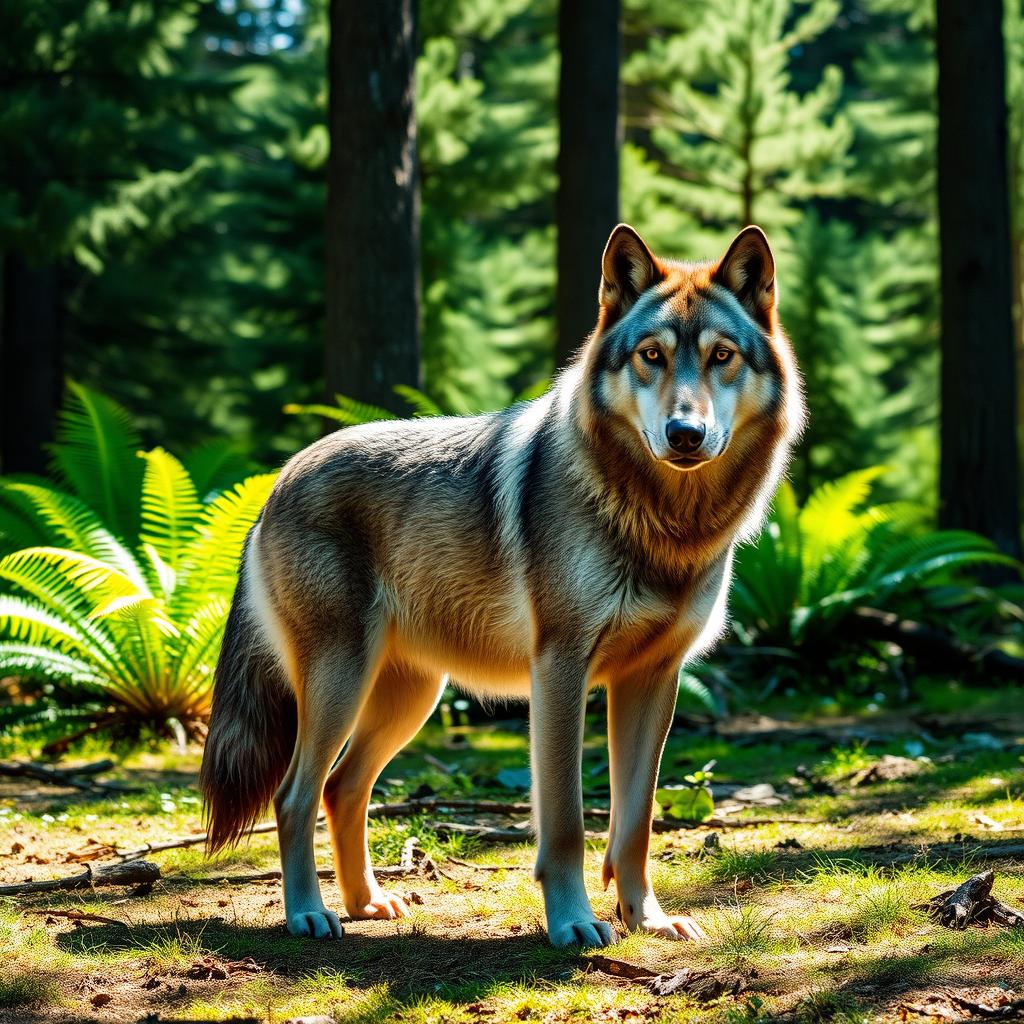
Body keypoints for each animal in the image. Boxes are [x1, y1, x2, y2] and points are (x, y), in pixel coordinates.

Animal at [199, 223, 804, 948]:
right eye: (651, 356)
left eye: (721, 357)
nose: (685, 433)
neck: (665, 525)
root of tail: (275, 483)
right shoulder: (560, 670)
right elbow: (567, 822)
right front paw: (574, 923)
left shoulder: (653, 680)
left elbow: (634, 824)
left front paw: (648, 919)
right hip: (341, 684)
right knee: (294, 795)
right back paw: (308, 914)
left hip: (408, 698)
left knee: (341, 788)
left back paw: (367, 903)